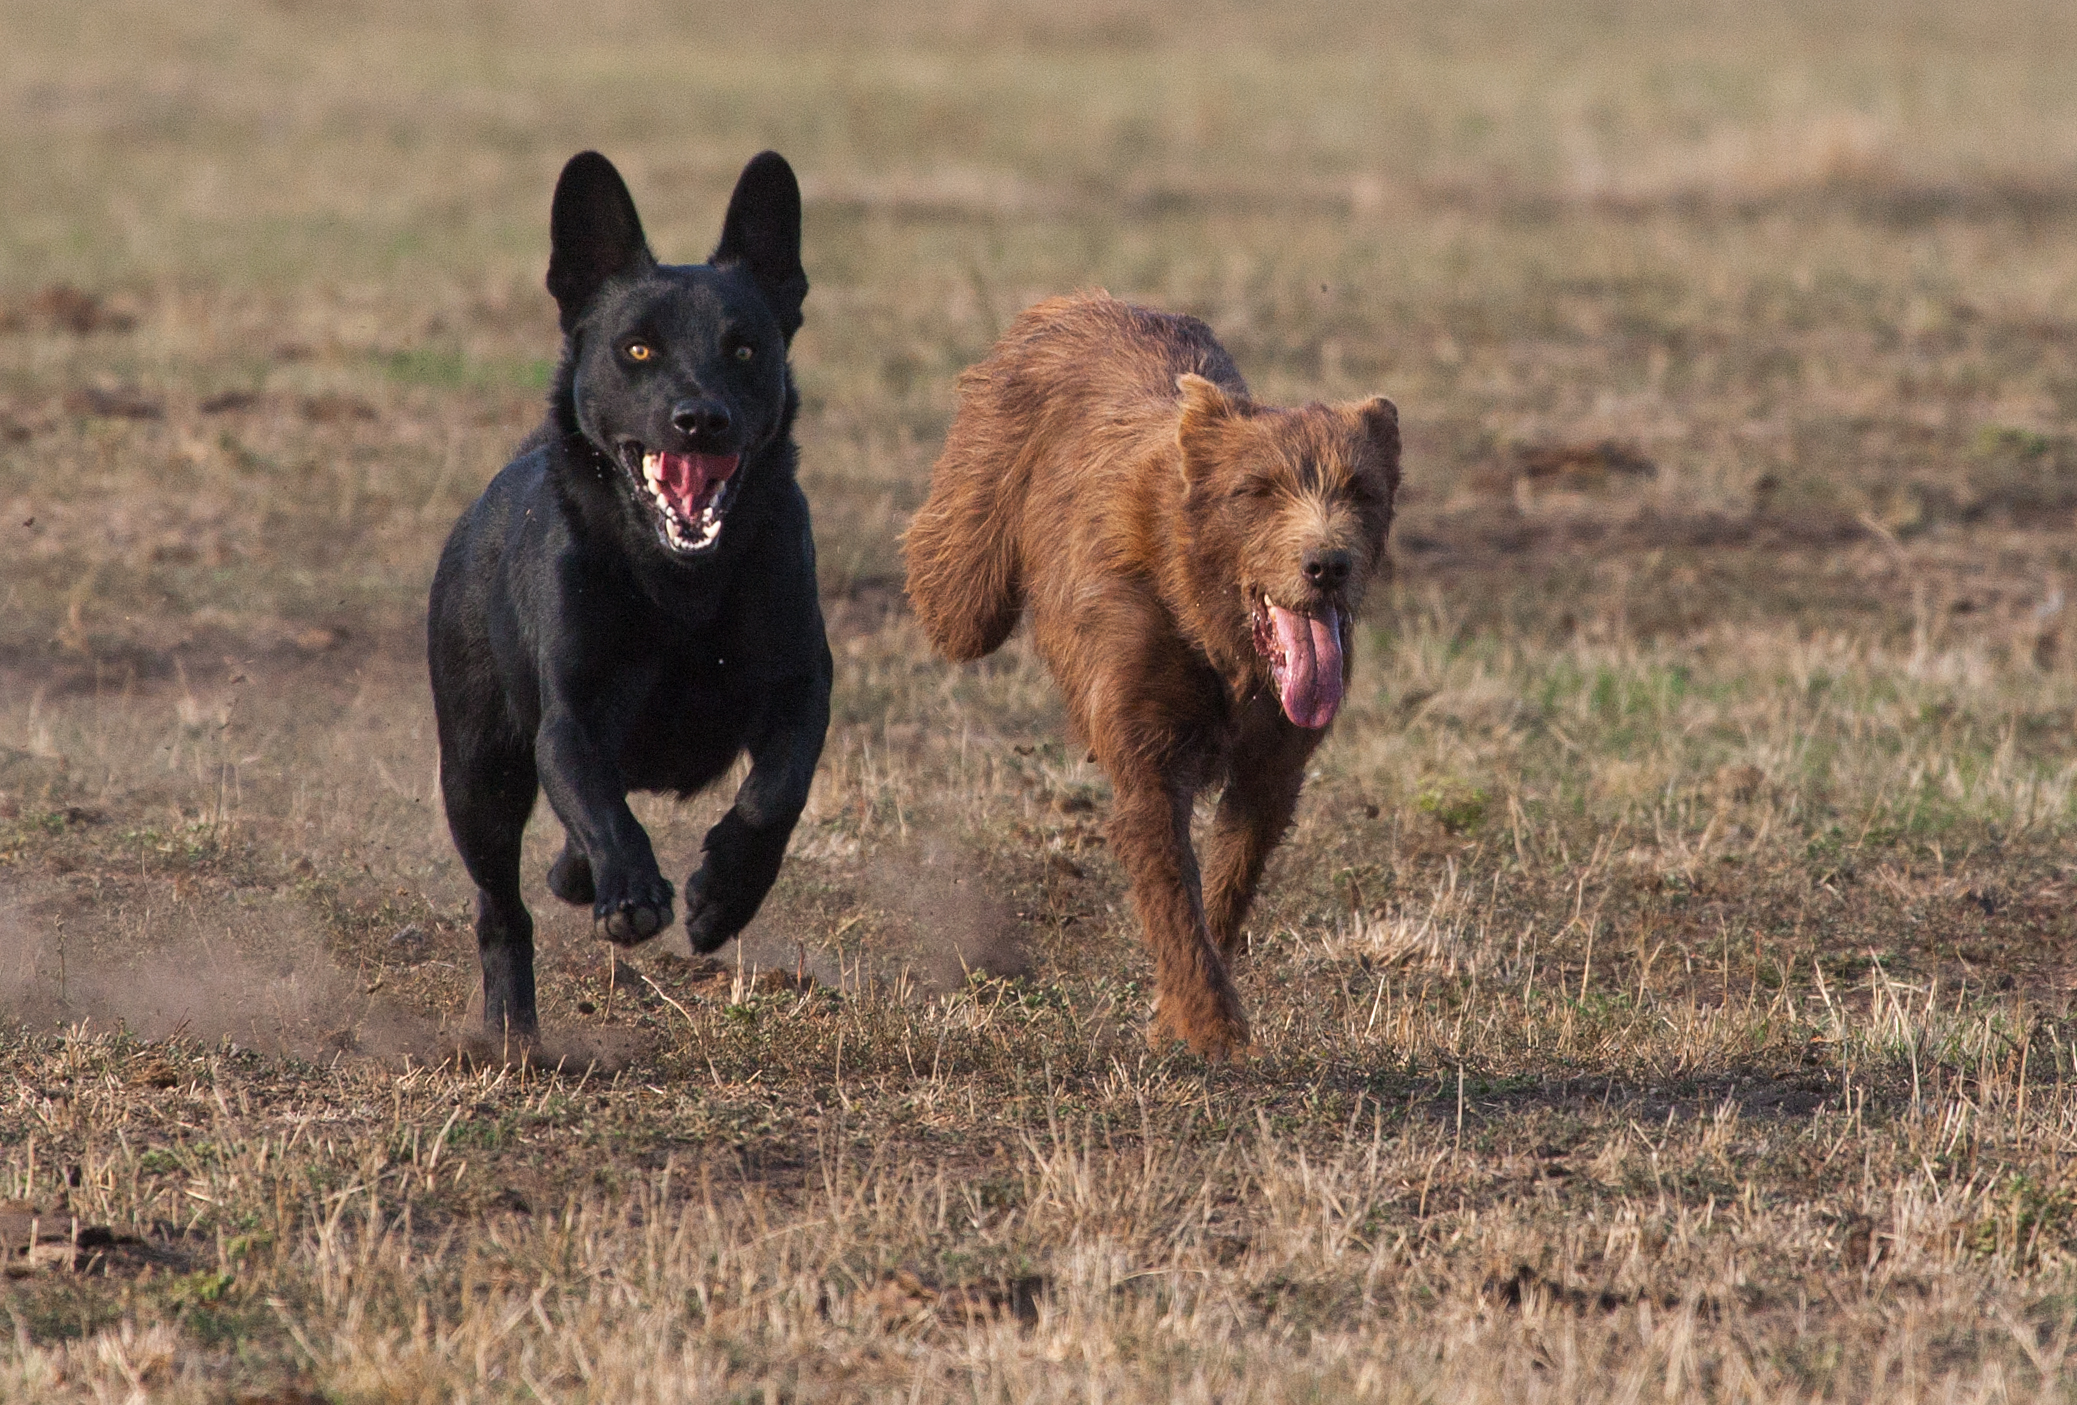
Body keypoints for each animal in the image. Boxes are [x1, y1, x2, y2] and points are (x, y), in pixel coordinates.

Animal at [425, 150, 830, 1043]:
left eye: (744, 348)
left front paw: (722, 895)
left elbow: (774, 792)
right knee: (501, 907)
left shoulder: (800, 688)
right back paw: (513, 1030)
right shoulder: (571, 715)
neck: (679, 584)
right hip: (477, 772)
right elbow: (600, 801)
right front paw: (634, 893)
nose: (699, 419)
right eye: (637, 348)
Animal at [905, 299, 1404, 1064]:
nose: (1326, 565)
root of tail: (1077, 302)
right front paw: (1207, 1019)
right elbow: (1172, 883)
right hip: (969, 567)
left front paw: (1178, 1012)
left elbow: (1230, 875)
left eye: (1361, 490)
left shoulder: (1271, 764)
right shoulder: (1147, 749)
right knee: (945, 585)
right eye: (1256, 490)